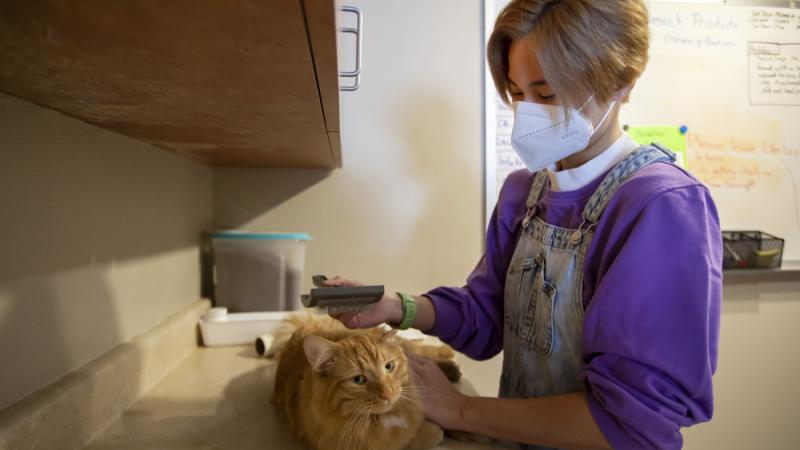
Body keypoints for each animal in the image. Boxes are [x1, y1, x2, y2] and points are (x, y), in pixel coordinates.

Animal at [270, 314, 460, 450]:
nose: (388, 394)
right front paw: (431, 432)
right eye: (358, 379)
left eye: (389, 366)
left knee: (420, 348)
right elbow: (408, 441)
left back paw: (448, 359)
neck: (378, 420)